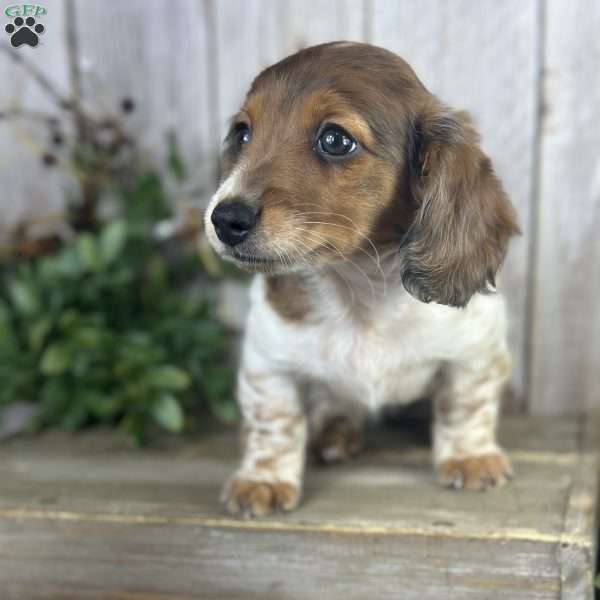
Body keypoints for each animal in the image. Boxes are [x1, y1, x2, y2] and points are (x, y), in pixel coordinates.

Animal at [204, 42, 516, 516]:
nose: (224, 219)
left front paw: (470, 457)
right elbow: (274, 423)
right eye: (242, 133)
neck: (357, 290)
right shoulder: (268, 361)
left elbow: (466, 403)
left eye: (335, 139)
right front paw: (263, 479)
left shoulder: (476, 349)